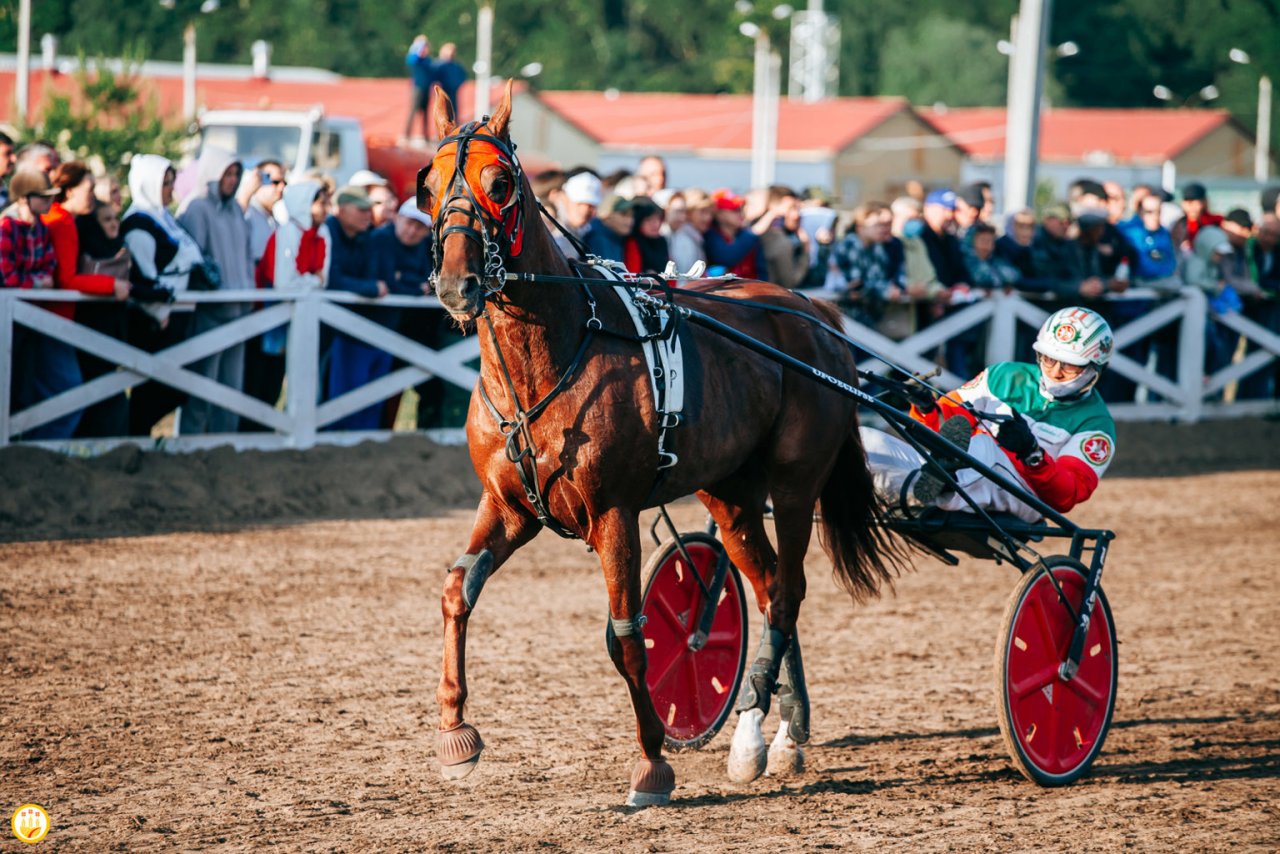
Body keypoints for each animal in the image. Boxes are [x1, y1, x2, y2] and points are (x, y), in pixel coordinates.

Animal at [419, 83, 901, 804]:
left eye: (499, 184)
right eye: (427, 186)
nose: (457, 285)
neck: (555, 352)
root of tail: (811, 311)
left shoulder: (613, 512)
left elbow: (627, 636)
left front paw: (651, 762)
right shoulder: (506, 506)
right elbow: (457, 591)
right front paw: (456, 733)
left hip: (793, 484)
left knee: (788, 591)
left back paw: (758, 735)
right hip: (730, 491)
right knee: (767, 589)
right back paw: (782, 727)